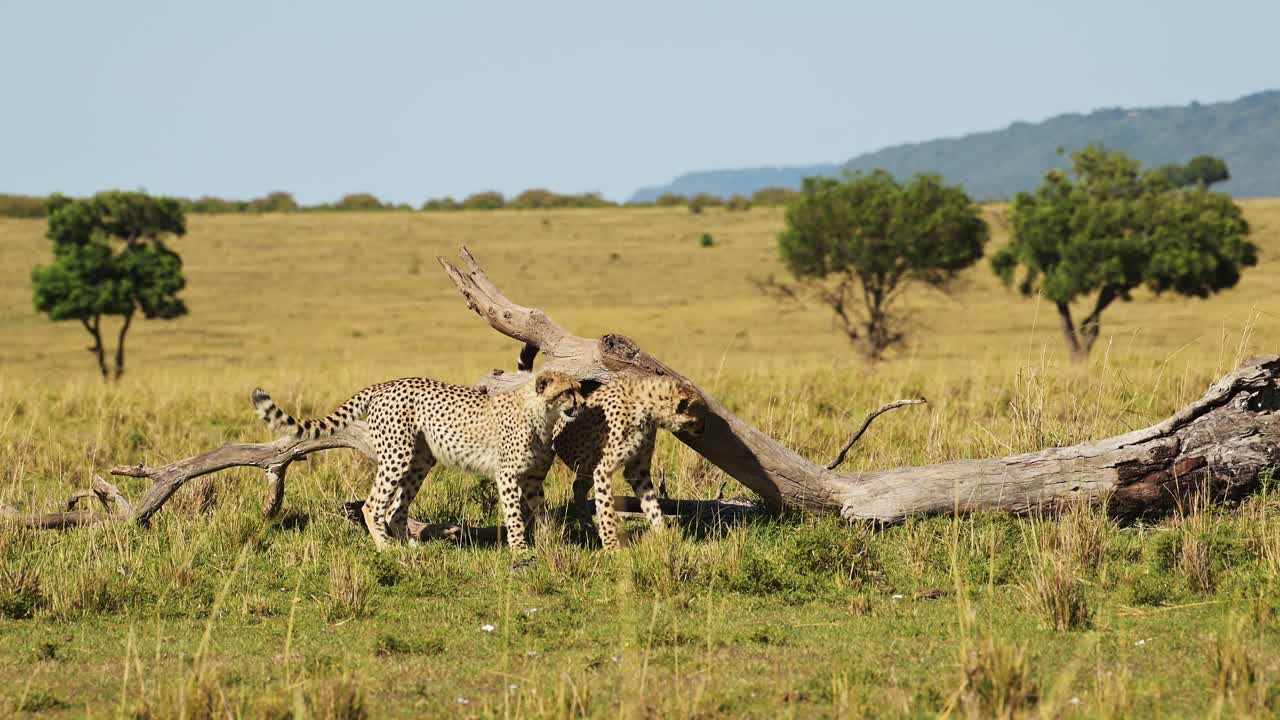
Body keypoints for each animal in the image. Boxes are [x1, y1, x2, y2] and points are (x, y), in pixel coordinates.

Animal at [251, 370, 585, 552]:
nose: (582, 404)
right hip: (397, 455)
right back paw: (385, 547)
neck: (541, 413)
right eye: (567, 392)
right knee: (373, 505)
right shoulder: (508, 476)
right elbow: (515, 516)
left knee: (396, 508)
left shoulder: (532, 479)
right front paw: (520, 551)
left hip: (420, 461)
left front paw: (551, 543)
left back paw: (410, 545)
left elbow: (542, 512)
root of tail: (387, 384)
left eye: (579, 390)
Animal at [550, 375, 708, 550]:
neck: (646, 409)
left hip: (586, 467)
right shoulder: (603, 469)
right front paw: (612, 546)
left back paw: (588, 527)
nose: (703, 429)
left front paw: (662, 534)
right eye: (700, 416)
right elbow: (606, 507)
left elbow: (651, 503)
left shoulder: (637, 471)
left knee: (578, 487)